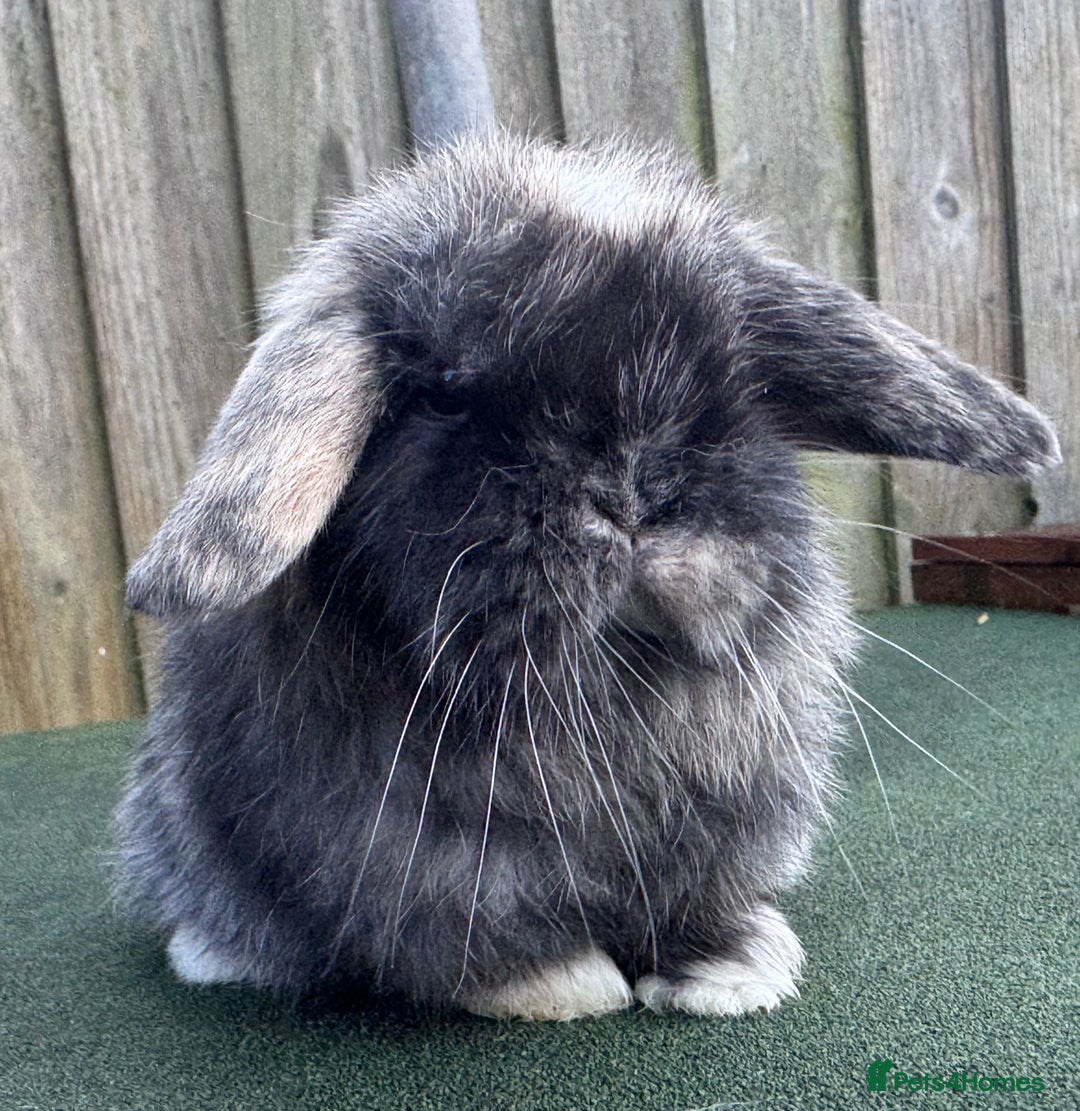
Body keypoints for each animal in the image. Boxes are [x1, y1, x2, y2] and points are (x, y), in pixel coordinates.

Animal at [116, 132, 1059, 1021]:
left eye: (734, 380)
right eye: (444, 391)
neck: (608, 687)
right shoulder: (423, 865)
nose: (634, 492)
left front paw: (733, 971)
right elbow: (478, 937)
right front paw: (565, 984)